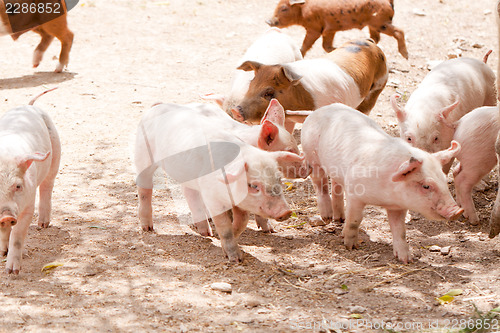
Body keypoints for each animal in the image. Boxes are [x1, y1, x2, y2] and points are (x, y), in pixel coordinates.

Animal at [0, 94, 61, 274]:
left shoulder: (28, 204)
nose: (6, 216)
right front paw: (2, 253)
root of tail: (29, 106)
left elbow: (18, 235)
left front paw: (12, 271)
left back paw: (43, 224)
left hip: (56, 151)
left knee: (47, 185)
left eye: (18, 186)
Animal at [266, 0, 406, 58]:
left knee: (399, 31)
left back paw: (406, 55)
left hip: (380, 23)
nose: (268, 21)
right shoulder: (329, 30)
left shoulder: (314, 29)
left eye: (284, 8)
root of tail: (388, 2)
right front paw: (336, 49)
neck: (303, 10)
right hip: (373, 25)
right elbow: (326, 46)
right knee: (375, 38)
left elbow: (305, 45)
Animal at [300, 103, 460, 262]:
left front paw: (406, 259)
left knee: (336, 185)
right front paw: (350, 246)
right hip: (312, 156)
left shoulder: (398, 207)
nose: (457, 211)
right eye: (426, 186)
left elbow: (400, 230)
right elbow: (355, 220)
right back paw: (327, 217)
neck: (386, 196)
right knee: (319, 183)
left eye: (444, 180)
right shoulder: (354, 193)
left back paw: (339, 218)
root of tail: (319, 110)